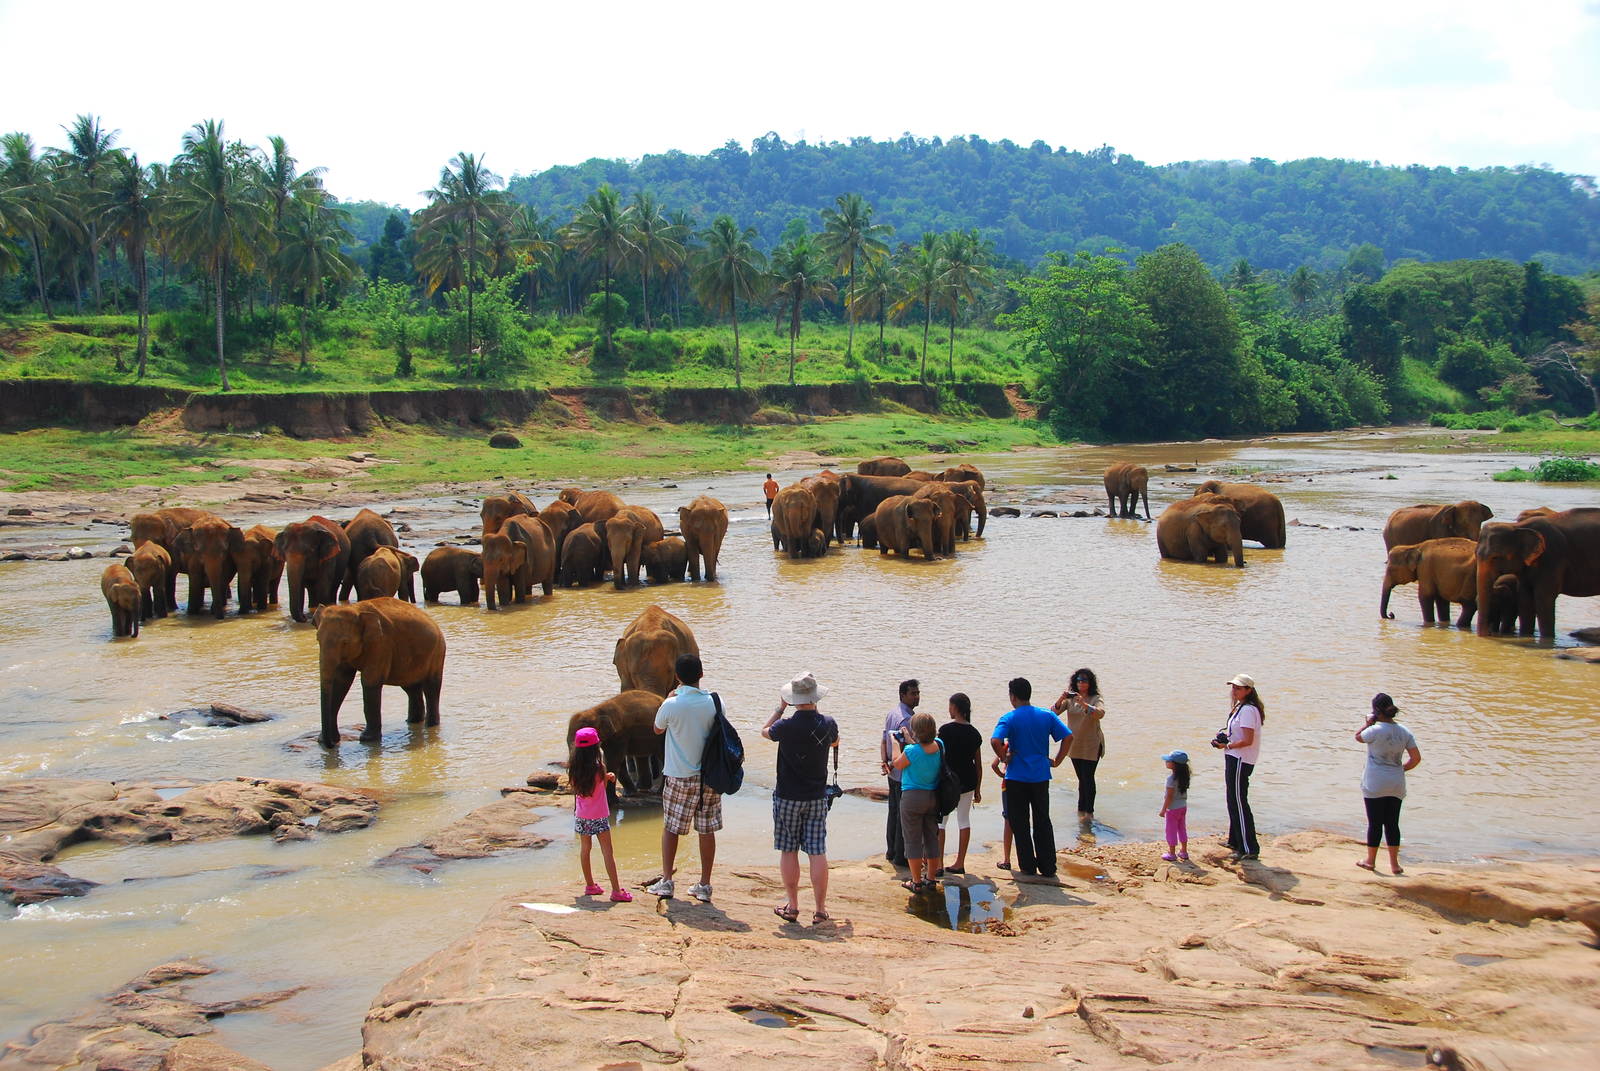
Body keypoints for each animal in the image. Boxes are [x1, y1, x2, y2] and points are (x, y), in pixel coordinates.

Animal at [314, 597, 445, 747]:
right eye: (317, 639)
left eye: (345, 642)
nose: (332, 744)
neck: (355, 608)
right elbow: (340, 683)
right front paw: (324, 740)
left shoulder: (381, 644)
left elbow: (369, 681)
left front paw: (367, 740)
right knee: (411, 688)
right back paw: (413, 721)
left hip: (437, 652)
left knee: (431, 688)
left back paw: (431, 725)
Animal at [1474, 509, 1600, 640]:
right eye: (1475, 554)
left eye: (1495, 557)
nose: (1488, 634)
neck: (1517, 527)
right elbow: (1525, 598)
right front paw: (1525, 635)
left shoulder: (1552, 557)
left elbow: (1543, 598)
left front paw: (1547, 639)